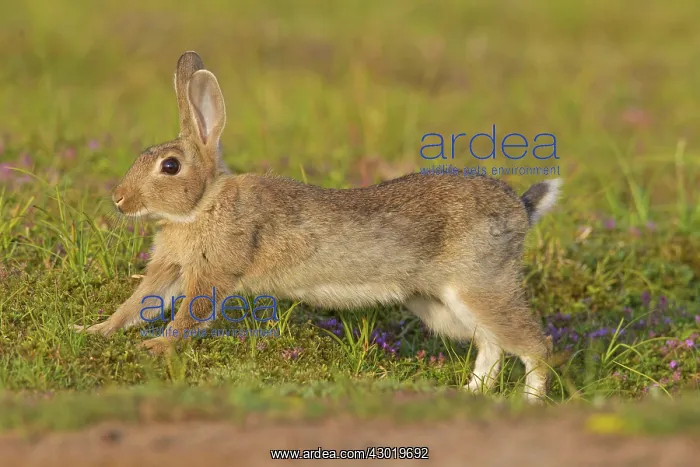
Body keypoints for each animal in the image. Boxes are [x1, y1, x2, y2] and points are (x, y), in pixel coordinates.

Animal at [72, 51, 561, 403]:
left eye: (170, 166)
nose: (119, 199)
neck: (203, 205)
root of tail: (520, 209)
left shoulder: (212, 273)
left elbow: (189, 314)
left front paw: (157, 348)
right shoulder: (170, 268)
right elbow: (136, 306)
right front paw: (93, 332)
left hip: (481, 285)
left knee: (535, 346)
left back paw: (530, 402)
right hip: (444, 306)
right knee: (491, 345)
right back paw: (471, 394)